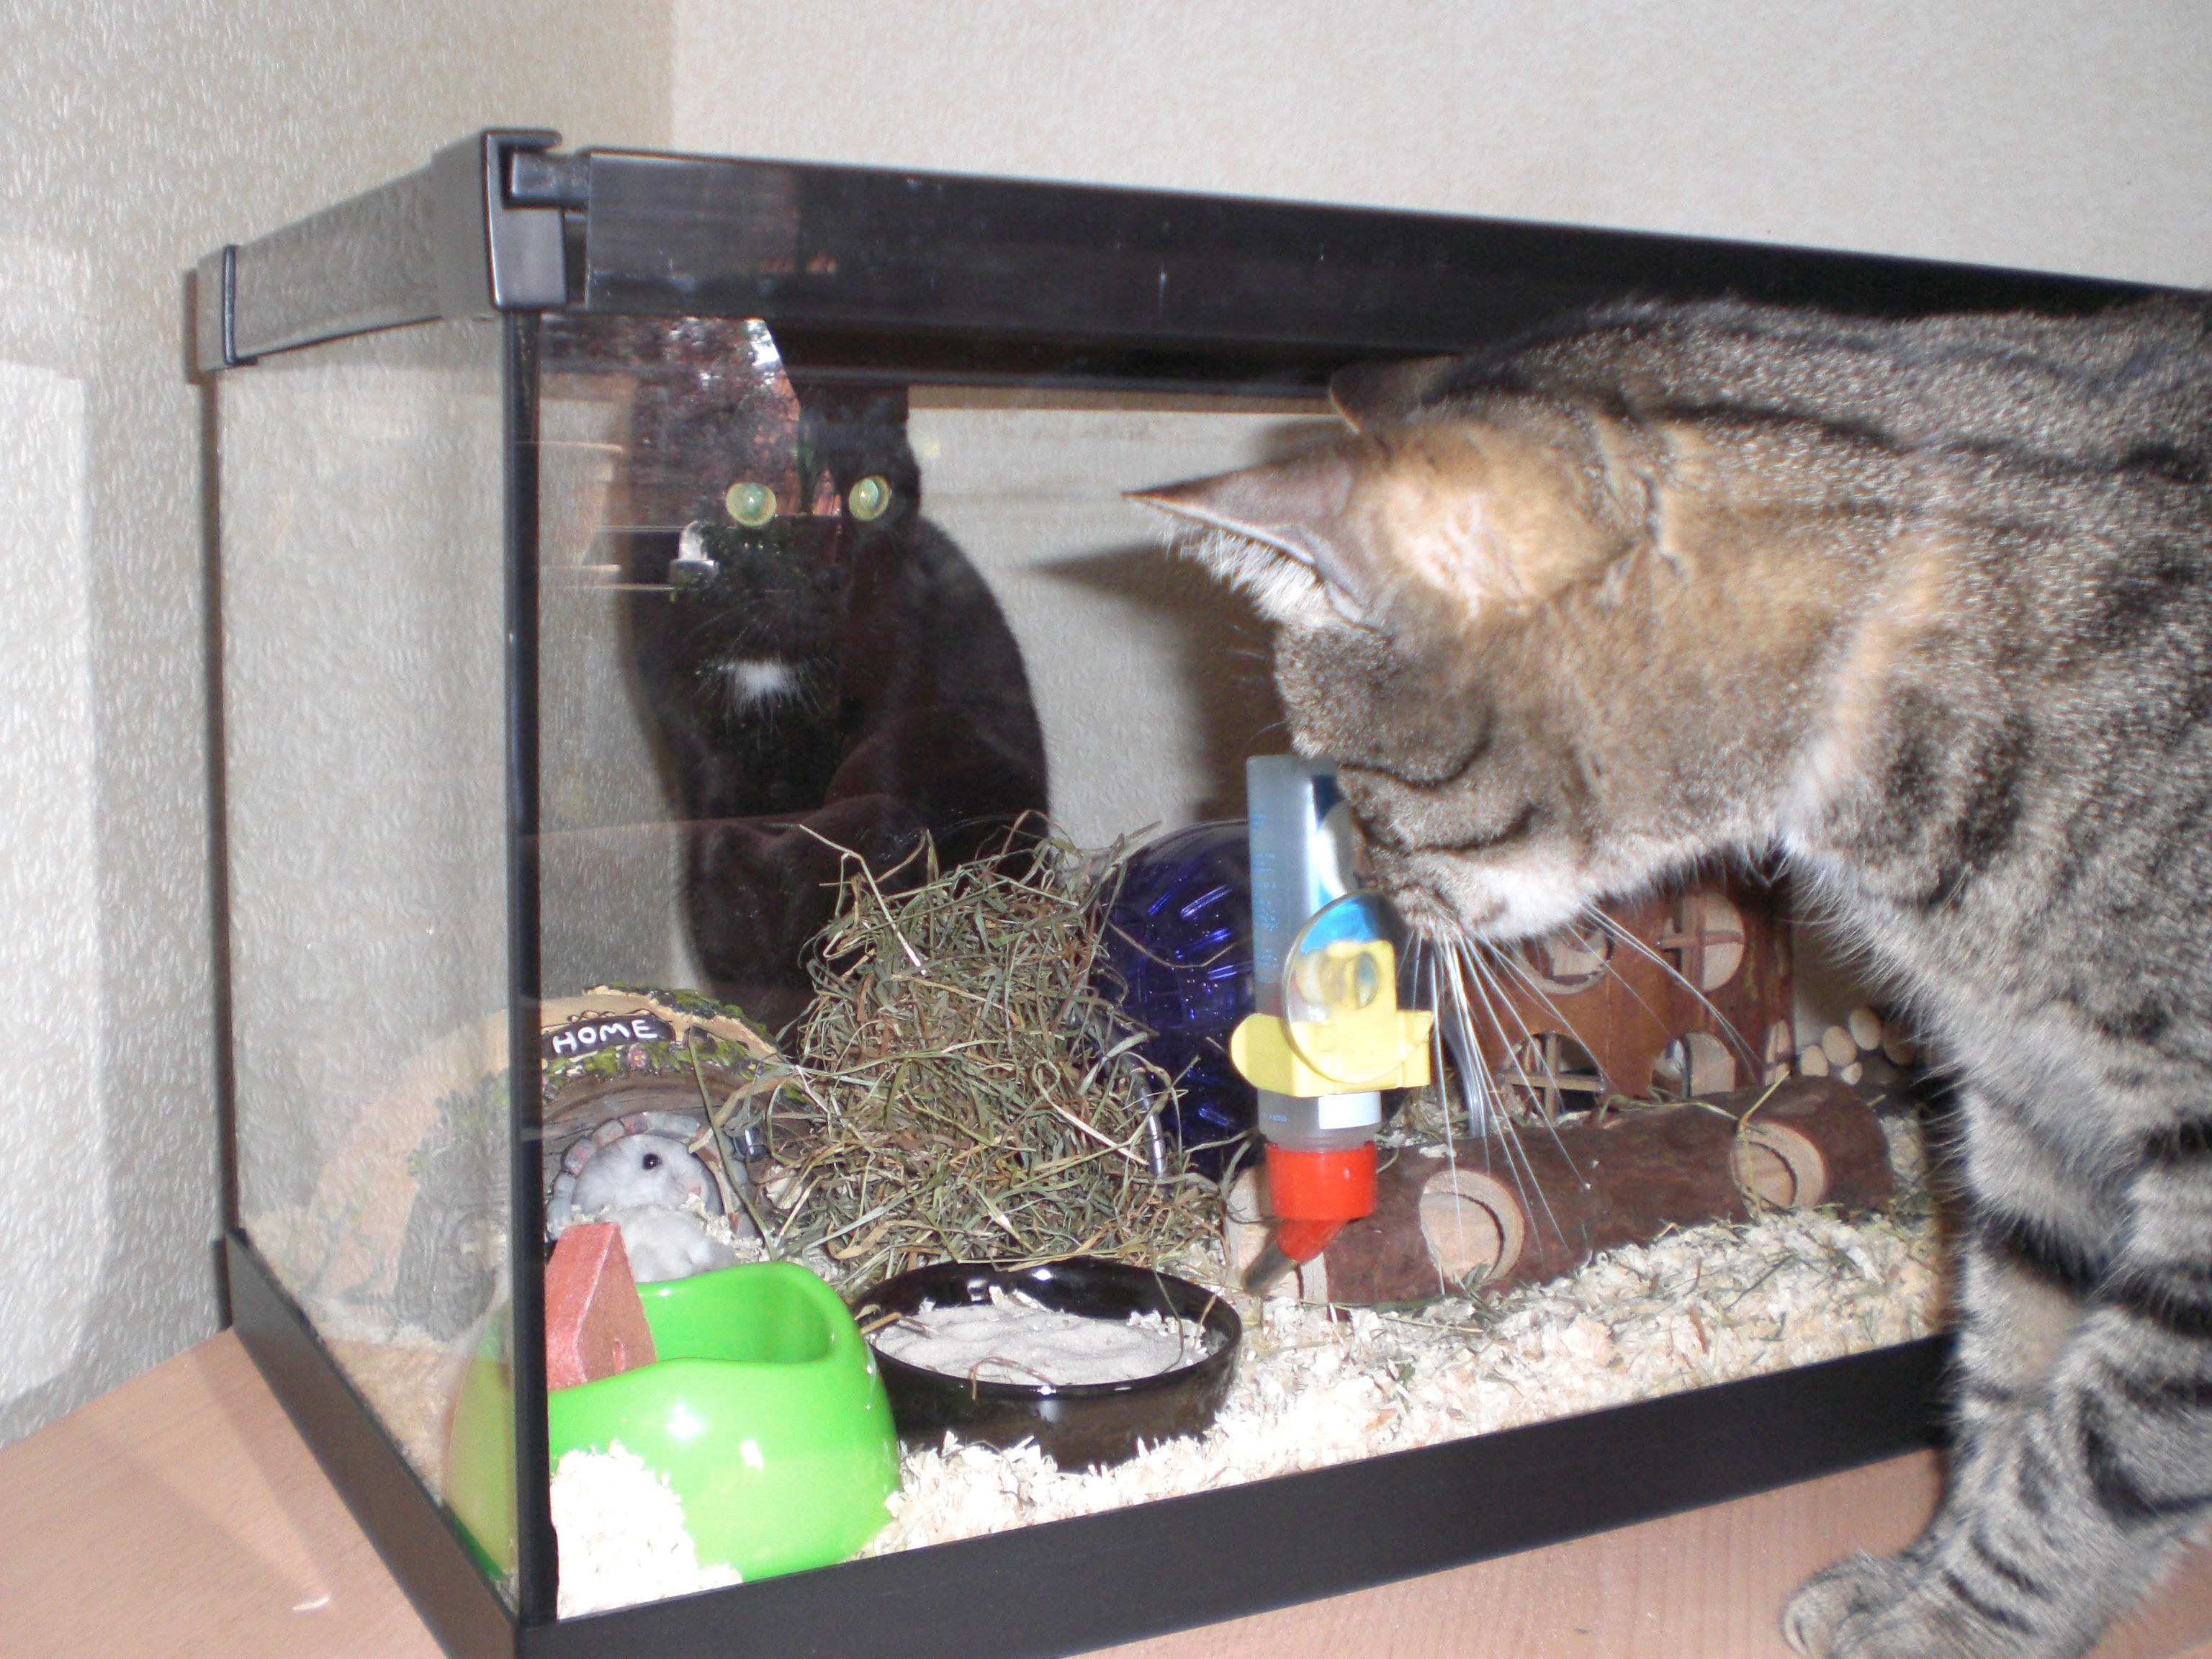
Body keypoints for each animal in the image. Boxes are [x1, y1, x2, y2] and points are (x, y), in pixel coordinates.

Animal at [1132, 295, 2212, 1659]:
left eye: (1355, 790)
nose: (1366, 886)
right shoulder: (2026, 1106)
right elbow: (2012, 1375)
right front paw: (1919, 1577)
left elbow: (2095, 1453)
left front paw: (1944, 1627)